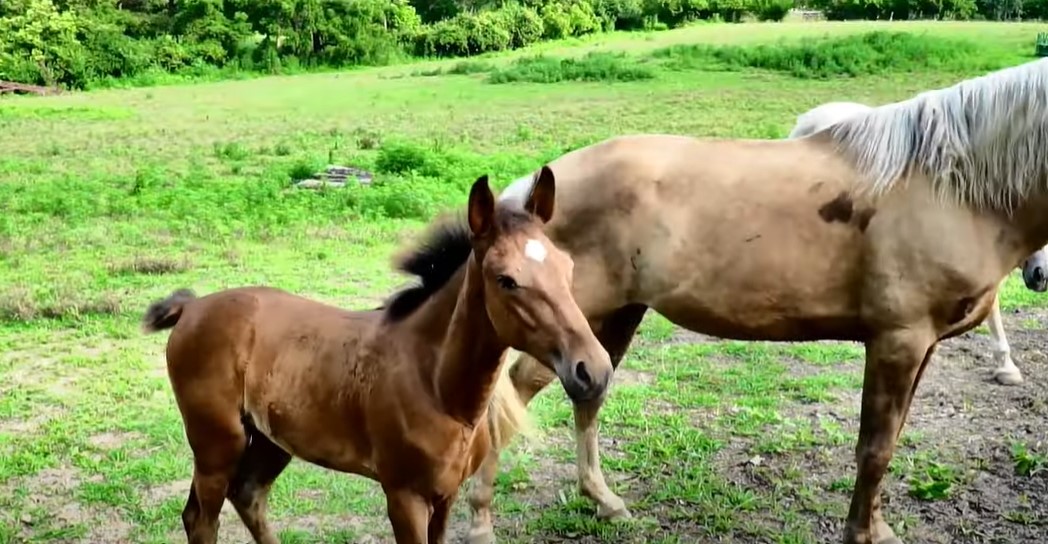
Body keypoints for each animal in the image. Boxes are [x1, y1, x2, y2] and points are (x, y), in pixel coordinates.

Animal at [140, 167, 612, 540]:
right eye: (506, 280)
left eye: (568, 267)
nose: (594, 369)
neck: (436, 386)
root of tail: (192, 307)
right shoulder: (404, 496)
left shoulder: (446, 495)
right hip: (216, 443)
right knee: (202, 519)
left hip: (270, 440)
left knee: (246, 496)